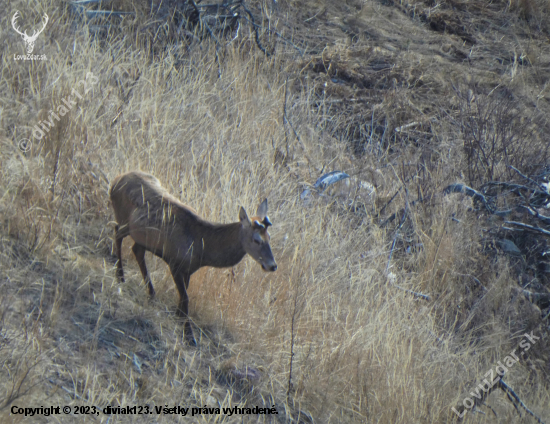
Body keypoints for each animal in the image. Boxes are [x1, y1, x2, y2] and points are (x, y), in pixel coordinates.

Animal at [109, 171, 278, 346]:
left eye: (270, 237)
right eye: (256, 240)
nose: (272, 265)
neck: (202, 248)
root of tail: (116, 180)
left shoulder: (189, 269)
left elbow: (184, 296)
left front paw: (178, 317)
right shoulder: (174, 262)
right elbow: (185, 298)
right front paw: (189, 335)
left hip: (142, 237)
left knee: (136, 250)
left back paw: (151, 292)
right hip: (123, 219)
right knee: (116, 233)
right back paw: (120, 275)